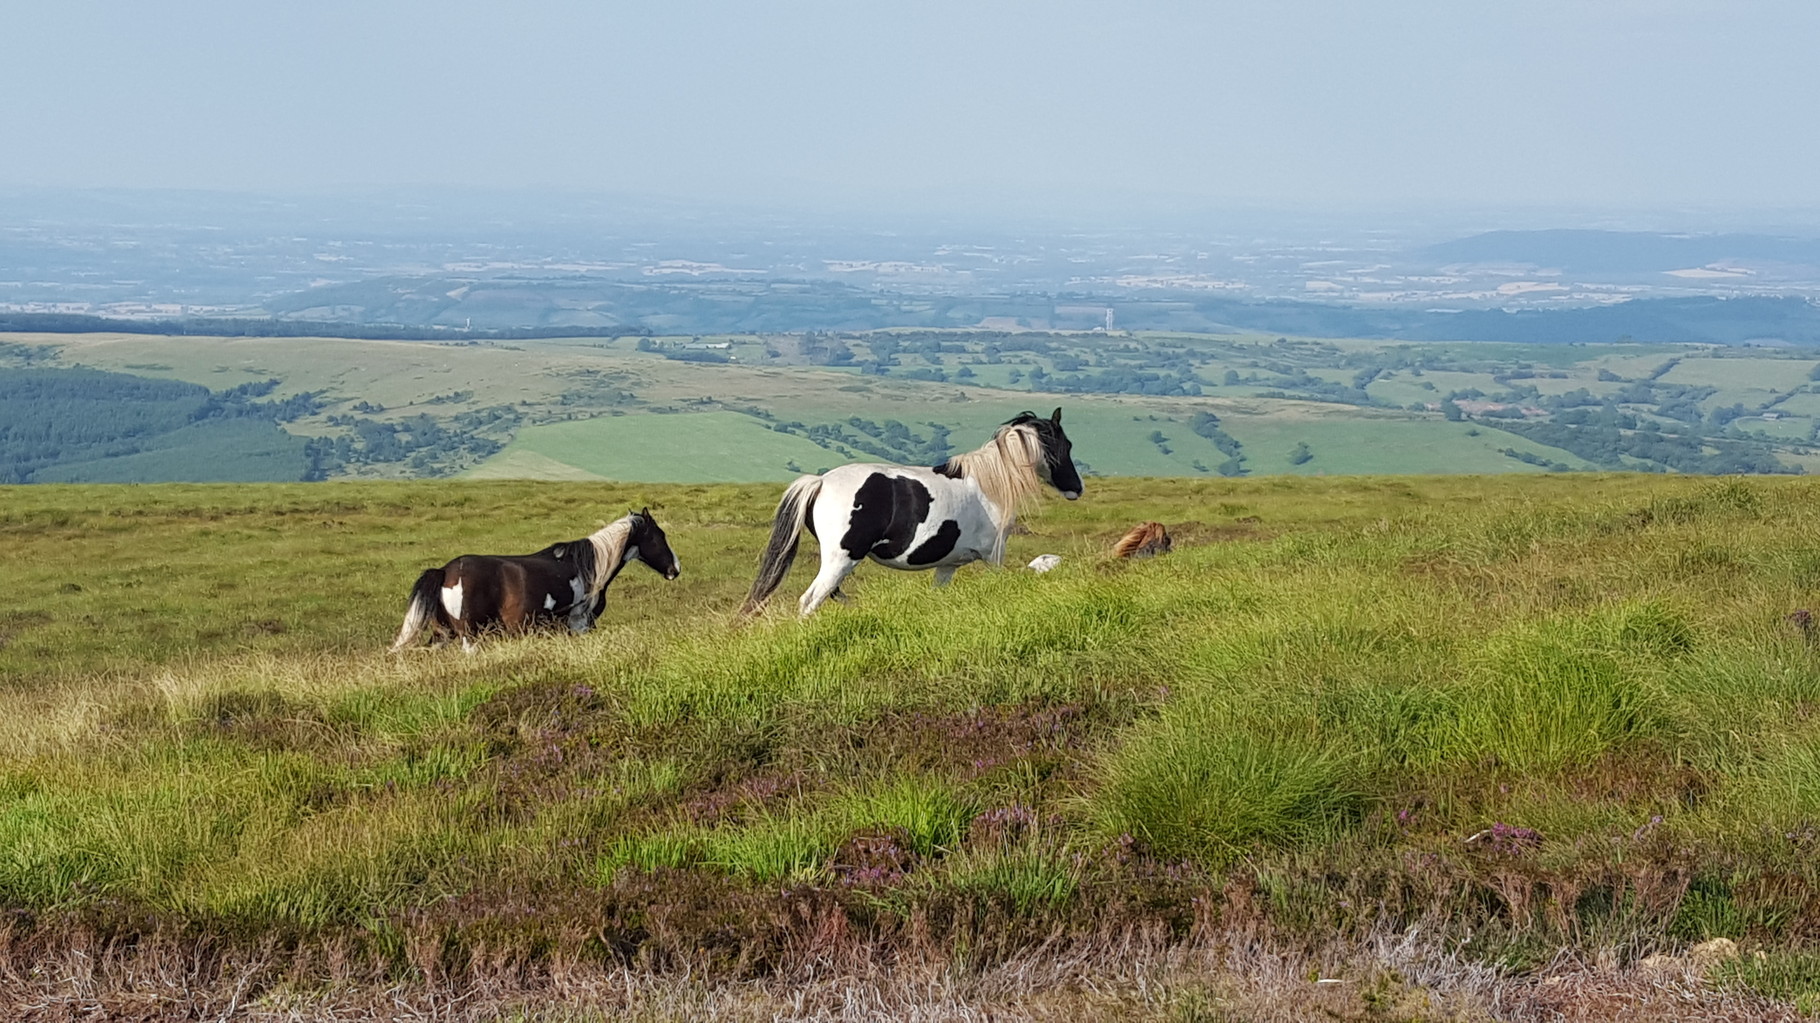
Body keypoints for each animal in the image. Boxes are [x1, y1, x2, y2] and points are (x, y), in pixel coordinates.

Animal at [391, 506, 684, 648]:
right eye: (659, 536)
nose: (675, 569)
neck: (588, 566)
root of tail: (445, 572)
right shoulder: (580, 624)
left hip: (443, 635)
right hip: (470, 636)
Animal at [742, 405, 1077, 611]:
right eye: (1067, 445)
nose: (1077, 488)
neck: (989, 484)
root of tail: (820, 483)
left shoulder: (947, 565)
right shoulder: (993, 555)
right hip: (840, 560)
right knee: (810, 601)